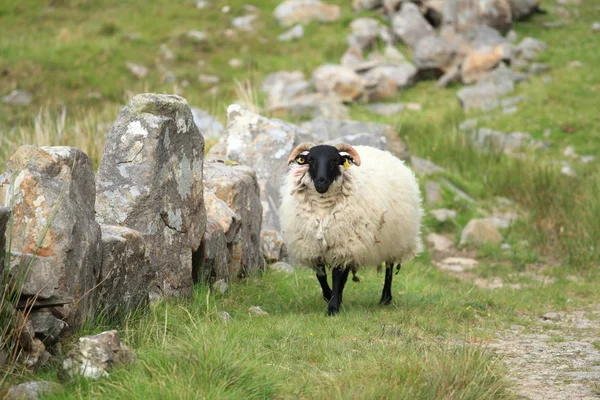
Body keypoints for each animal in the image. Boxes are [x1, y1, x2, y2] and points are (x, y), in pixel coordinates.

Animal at [280, 142, 424, 314]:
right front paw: (329, 297)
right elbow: (321, 276)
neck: (323, 208)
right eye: (310, 160)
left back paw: (385, 298)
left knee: (389, 267)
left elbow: (337, 276)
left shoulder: (344, 244)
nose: (321, 182)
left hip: (394, 239)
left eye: (335, 161)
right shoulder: (313, 247)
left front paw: (333, 308)